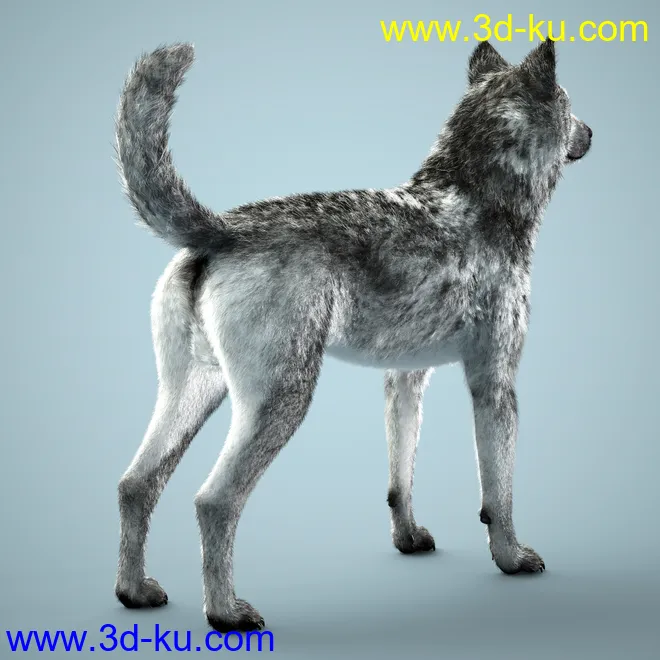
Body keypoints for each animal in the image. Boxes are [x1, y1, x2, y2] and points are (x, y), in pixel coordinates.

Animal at [113, 38, 592, 632]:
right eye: (570, 105)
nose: (591, 132)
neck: (478, 195)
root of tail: (221, 230)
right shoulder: (495, 386)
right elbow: (497, 495)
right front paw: (512, 558)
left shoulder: (405, 380)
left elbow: (399, 480)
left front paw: (408, 539)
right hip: (279, 402)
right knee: (214, 502)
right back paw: (225, 613)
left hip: (193, 394)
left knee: (135, 485)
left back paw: (134, 592)